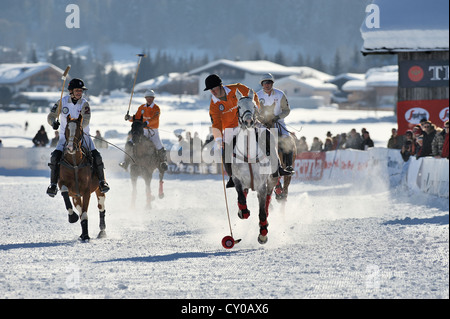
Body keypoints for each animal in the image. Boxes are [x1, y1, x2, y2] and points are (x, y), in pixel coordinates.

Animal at [230, 90, 280, 245]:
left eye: (253, 105)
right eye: (239, 106)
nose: (248, 121)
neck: (249, 154)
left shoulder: (261, 185)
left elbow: (262, 212)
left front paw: (263, 235)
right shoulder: (237, 178)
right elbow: (241, 197)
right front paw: (243, 212)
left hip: (271, 180)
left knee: (268, 198)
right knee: (244, 193)